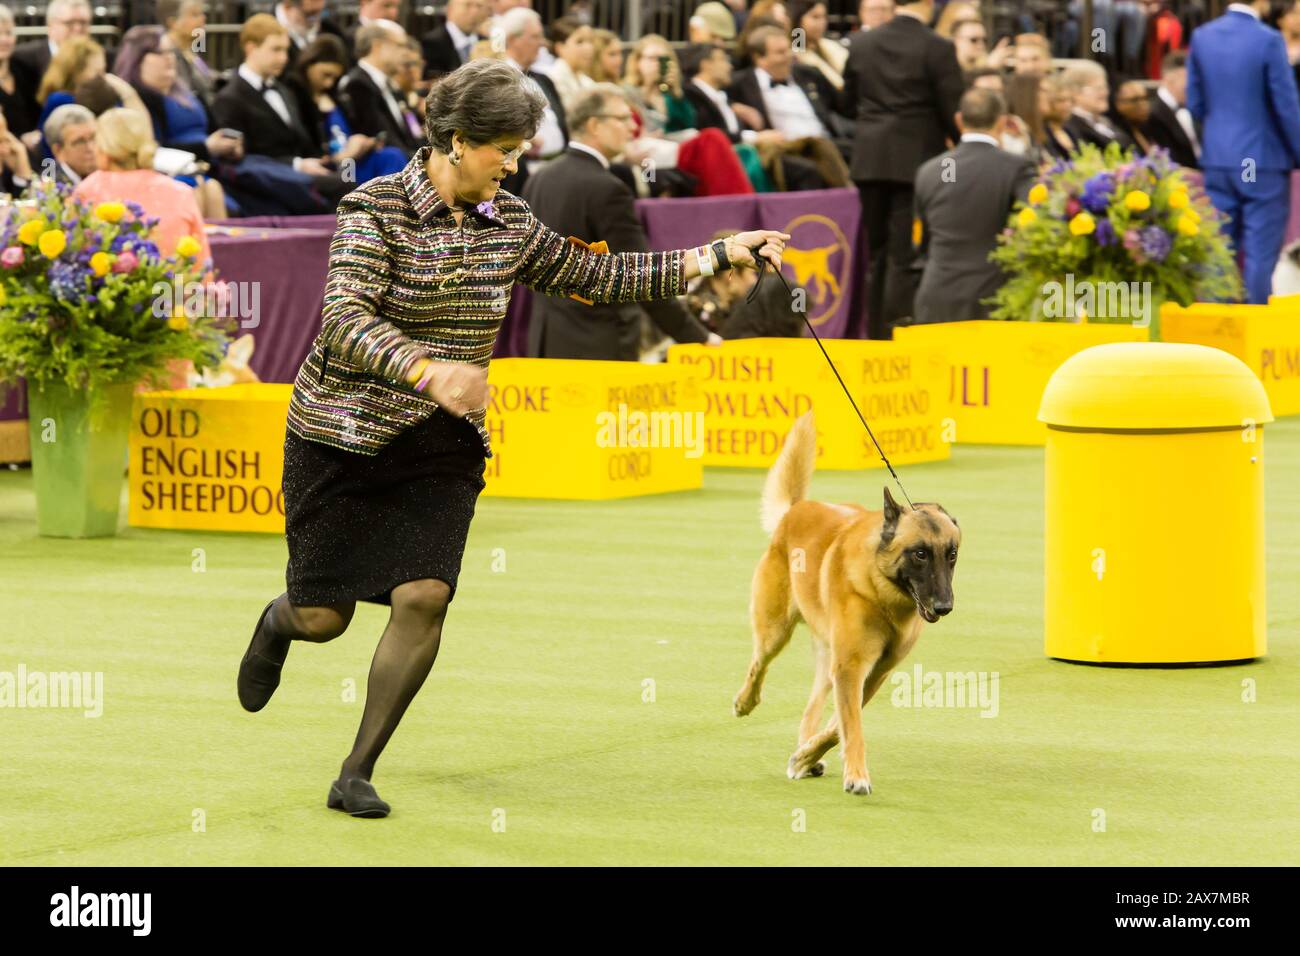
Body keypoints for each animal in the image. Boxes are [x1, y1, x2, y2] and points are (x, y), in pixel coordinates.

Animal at [738, 416, 961, 796]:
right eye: (919, 554)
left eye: (951, 555)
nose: (944, 606)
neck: (881, 590)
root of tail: (796, 509)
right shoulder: (851, 667)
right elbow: (851, 727)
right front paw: (856, 774)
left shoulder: (872, 673)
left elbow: (836, 727)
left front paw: (806, 757)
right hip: (775, 632)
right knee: (758, 664)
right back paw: (745, 702)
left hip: (827, 657)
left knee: (811, 708)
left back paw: (804, 751)